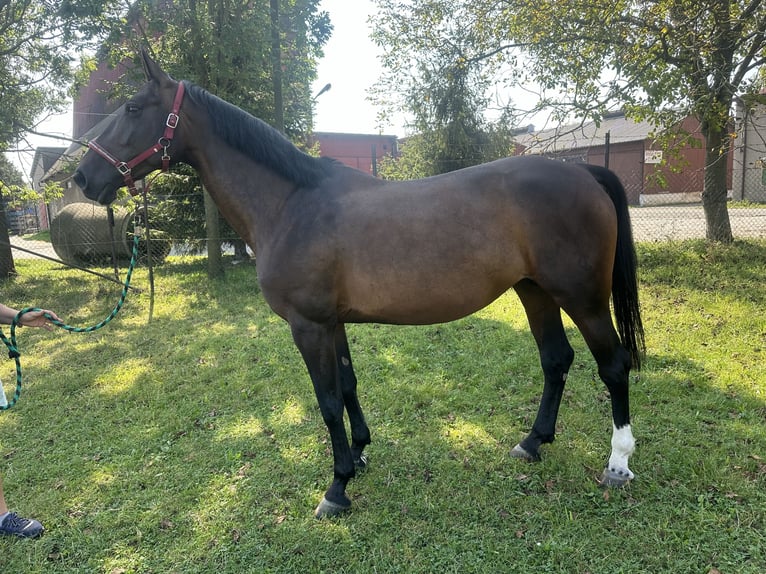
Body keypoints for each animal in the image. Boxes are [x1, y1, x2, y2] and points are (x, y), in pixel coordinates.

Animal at [75, 48, 644, 516]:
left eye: (132, 108)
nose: (82, 178)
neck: (290, 203)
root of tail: (584, 171)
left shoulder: (307, 326)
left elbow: (327, 402)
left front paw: (336, 488)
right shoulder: (333, 323)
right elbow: (347, 387)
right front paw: (361, 452)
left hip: (584, 299)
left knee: (613, 366)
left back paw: (617, 464)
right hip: (535, 292)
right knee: (556, 360)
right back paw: (532, 442)